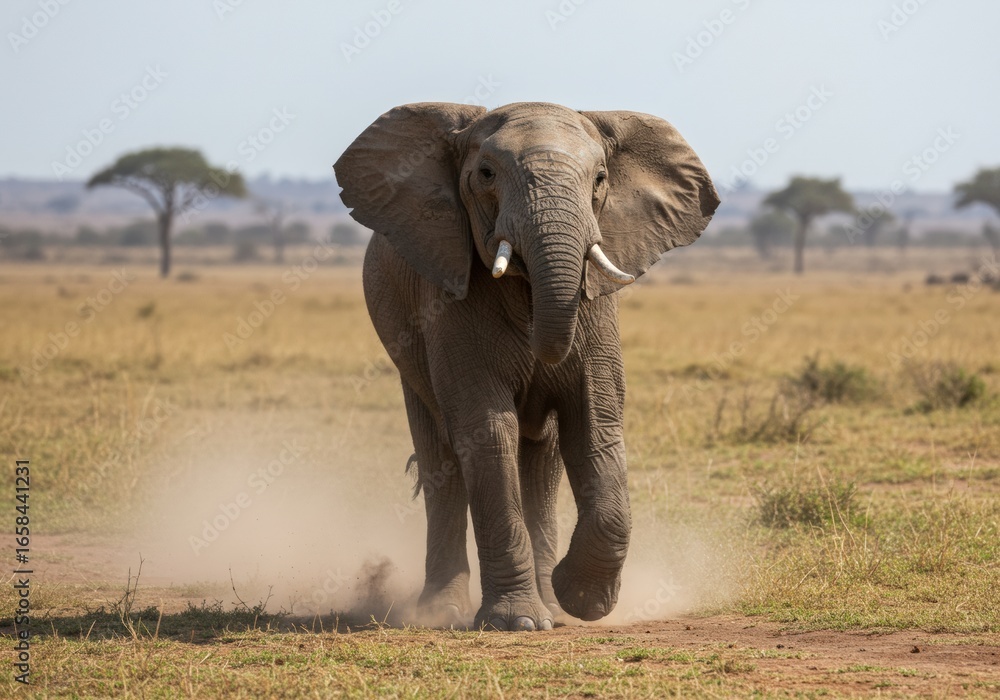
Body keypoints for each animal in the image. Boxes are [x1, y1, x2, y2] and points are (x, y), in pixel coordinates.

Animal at [334, 102, 718, 631]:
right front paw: (518, 622)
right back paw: (441, 611)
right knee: (442, 459)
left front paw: (581, 601)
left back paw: (553, 606)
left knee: (542, 464)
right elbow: (488, 431)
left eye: (601, 178)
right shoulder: (447, 303)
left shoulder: (596, 306)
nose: (542, 356)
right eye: (486, 174)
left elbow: (594, 426)